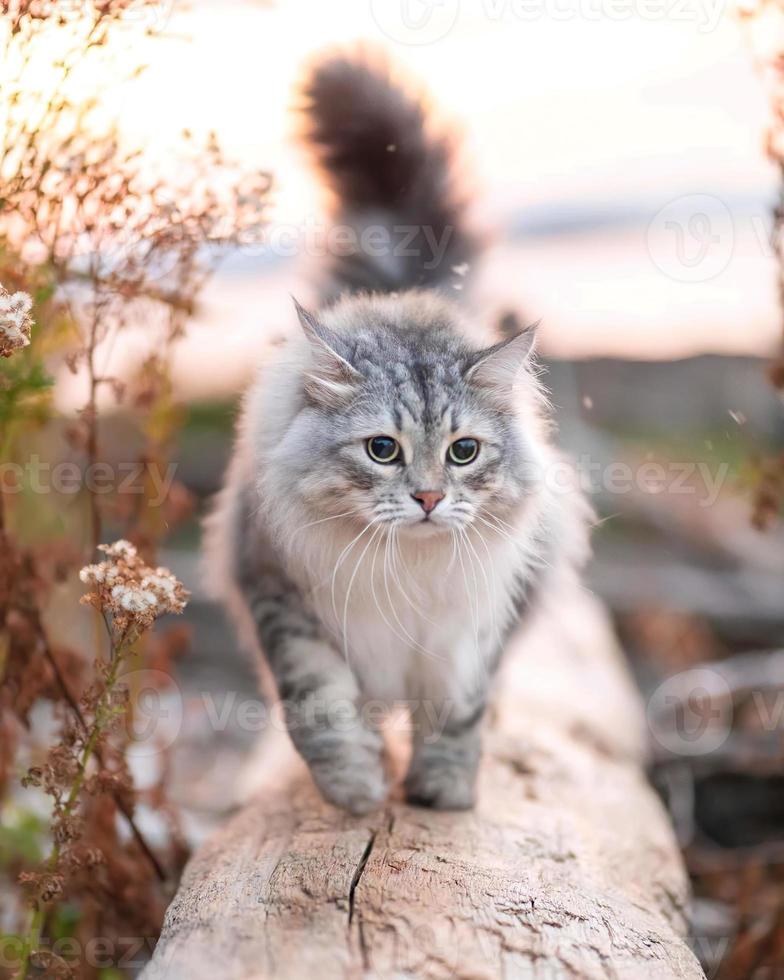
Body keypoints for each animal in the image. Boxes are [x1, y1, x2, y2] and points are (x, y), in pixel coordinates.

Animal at [205, 53, 592, 812]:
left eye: (463, 452)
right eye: (383, 450)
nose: (430, 499)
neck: (406, 572)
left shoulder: (470, 633)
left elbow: (459, 715)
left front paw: (441, 793)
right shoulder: (284, 600)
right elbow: (322, 708)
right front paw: (356, 791)